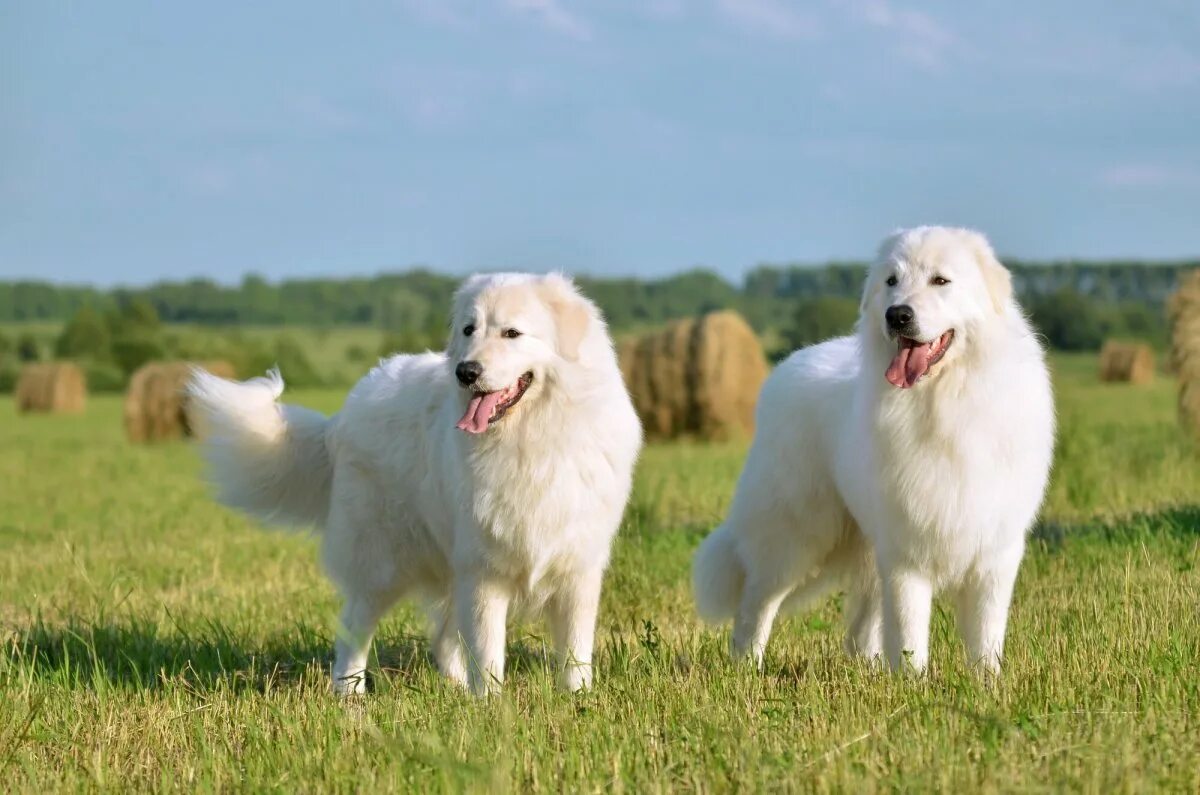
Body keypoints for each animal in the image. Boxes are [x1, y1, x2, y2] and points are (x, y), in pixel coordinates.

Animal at [187, 273, 643, 696]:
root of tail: (340, 419)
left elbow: (575, 651)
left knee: (442, 638)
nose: (465, 372)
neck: (532, 438)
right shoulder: (482, 572)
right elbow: (488, 653)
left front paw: (577, 699)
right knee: (354, 627)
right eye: (469, 330)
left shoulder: (578, 568)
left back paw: (454, 690)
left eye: (512, 333)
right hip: (382, 562)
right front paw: (493, 706)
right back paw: (350, 694)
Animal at [696, 226, 1051, 677]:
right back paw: (747, 667)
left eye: (941, 281)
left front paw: (986, 683)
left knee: (861, 626)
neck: (946, 400)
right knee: (756, 603)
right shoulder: (905, 552)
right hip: (793, 535)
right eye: (891, 281)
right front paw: (914, 683)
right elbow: (911, 632)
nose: (897, 315)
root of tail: (788, 366)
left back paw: (866, 669)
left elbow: (986, 635)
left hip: (860, 543)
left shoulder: (994, 551)